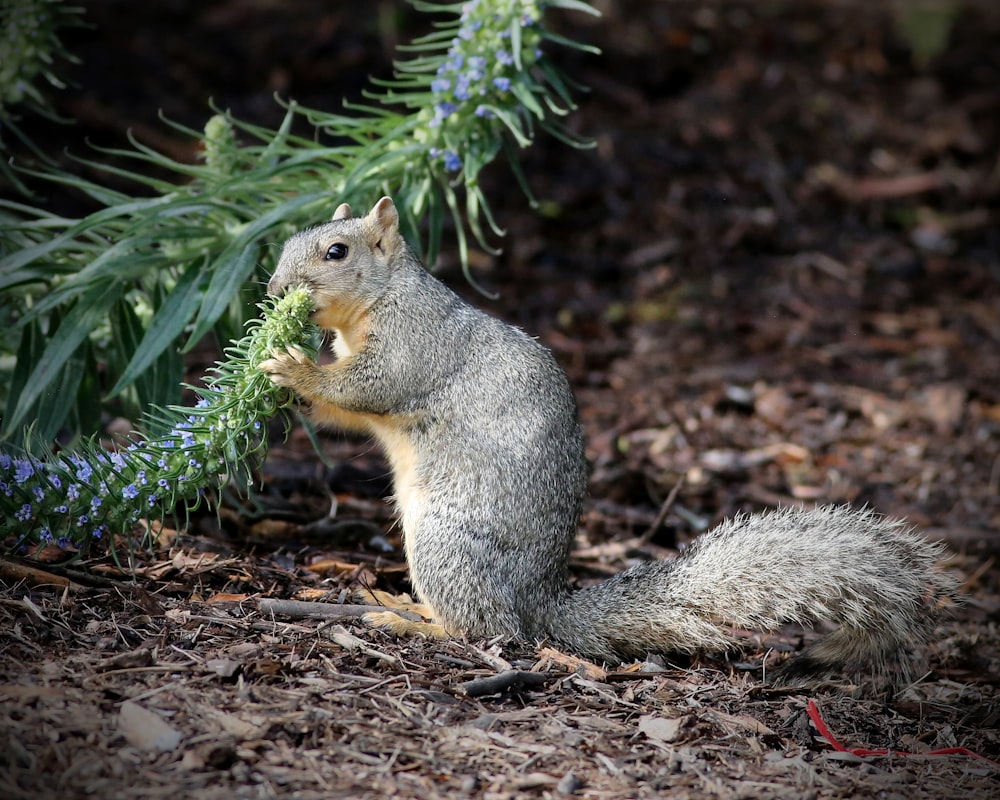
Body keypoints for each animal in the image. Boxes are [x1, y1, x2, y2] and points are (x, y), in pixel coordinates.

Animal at [262, 195, 956, 680]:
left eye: (336, 252)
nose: (273, 291)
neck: (378, 300)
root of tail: (538, 604)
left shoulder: (415, 343)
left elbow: (371, 387)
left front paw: (291, 366)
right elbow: (349, 415)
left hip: (448, 542)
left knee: (482, 629)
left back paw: (411, 620)